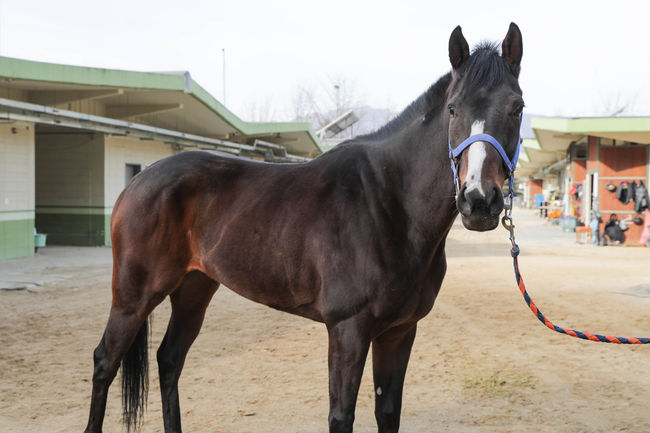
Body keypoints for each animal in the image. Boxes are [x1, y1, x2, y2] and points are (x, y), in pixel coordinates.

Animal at [85, 22, 520, 432]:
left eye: (517, 106)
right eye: (453, 108)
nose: (479, 201)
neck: (388, 202)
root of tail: (139, 180)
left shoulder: (399, 331)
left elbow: (387, 412)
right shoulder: (347, 329)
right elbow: (341, 416)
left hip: (194, 287)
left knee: (169, 360)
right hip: (133, 296)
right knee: (105, 362)